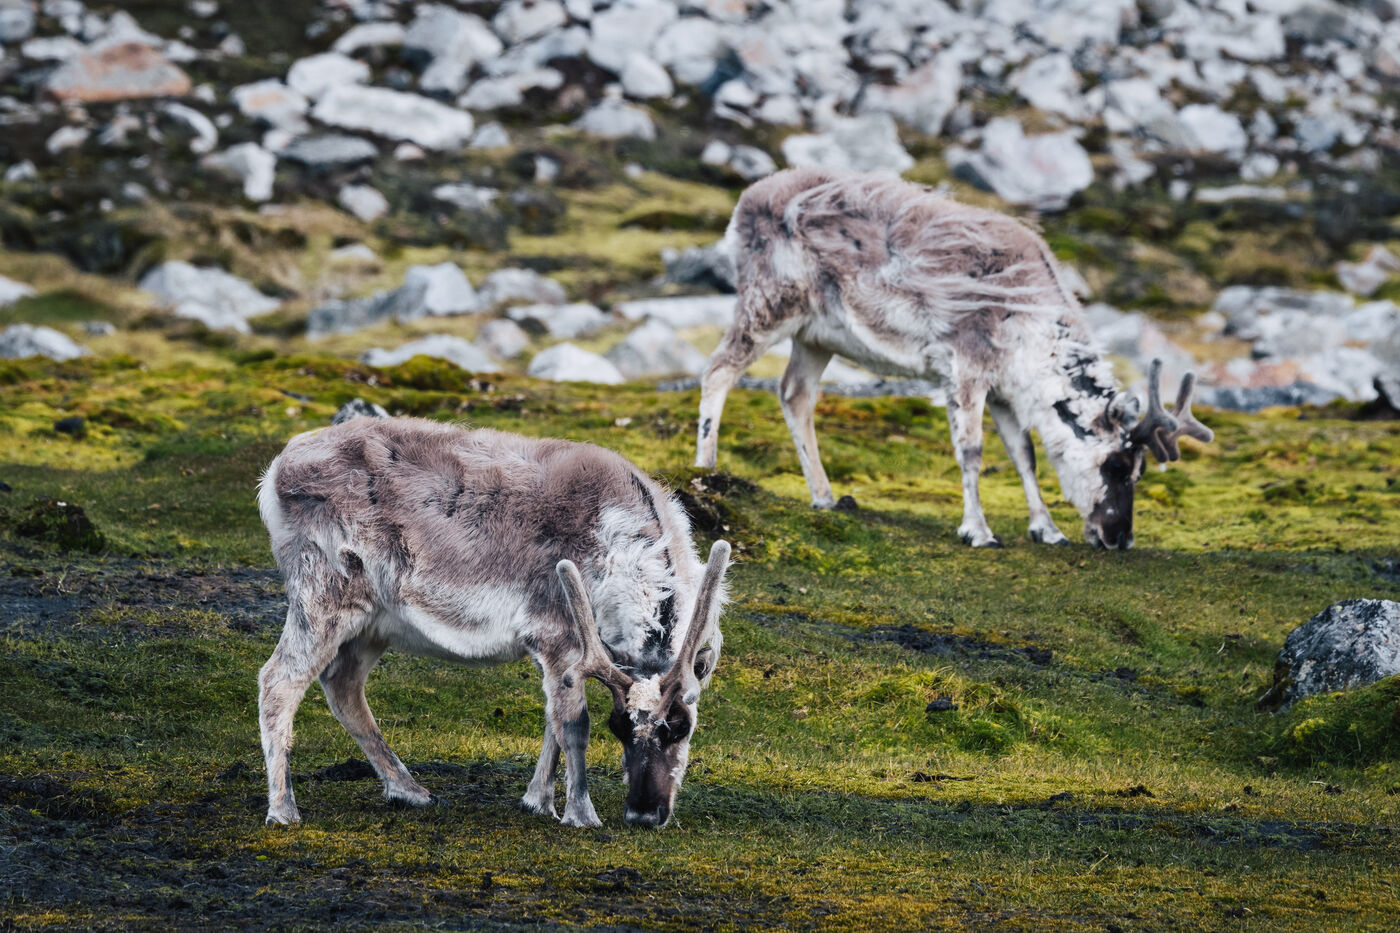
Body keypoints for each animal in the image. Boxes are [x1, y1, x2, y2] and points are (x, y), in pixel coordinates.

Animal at [257, 416, 730, 829]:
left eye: (682, 728)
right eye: (618, 727)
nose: (644, 814)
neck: (616, 554)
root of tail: (275, 471)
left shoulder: (564, 654)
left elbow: (552, 721)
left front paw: (538, 800)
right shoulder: (557, 633)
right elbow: (573, 725)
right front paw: (581, 813)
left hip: (373, 621)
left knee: (342, 684)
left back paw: (409, 790)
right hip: (322, 594)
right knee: (278, 679)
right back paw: (283, 809)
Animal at [695, 168, 1212, 549]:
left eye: (1140, 471)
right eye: (1118, 466)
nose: (1119, 537)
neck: (1032, 331)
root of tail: (743, 202)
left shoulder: (1004, 390)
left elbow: (1025, 455)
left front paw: (1047, 529)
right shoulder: (966, 367)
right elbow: (972, 452)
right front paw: (978, 531)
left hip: (818, 334)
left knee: (794, 392)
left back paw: (824, 496)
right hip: (770, 301)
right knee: (719, 367)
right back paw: (706, 468)